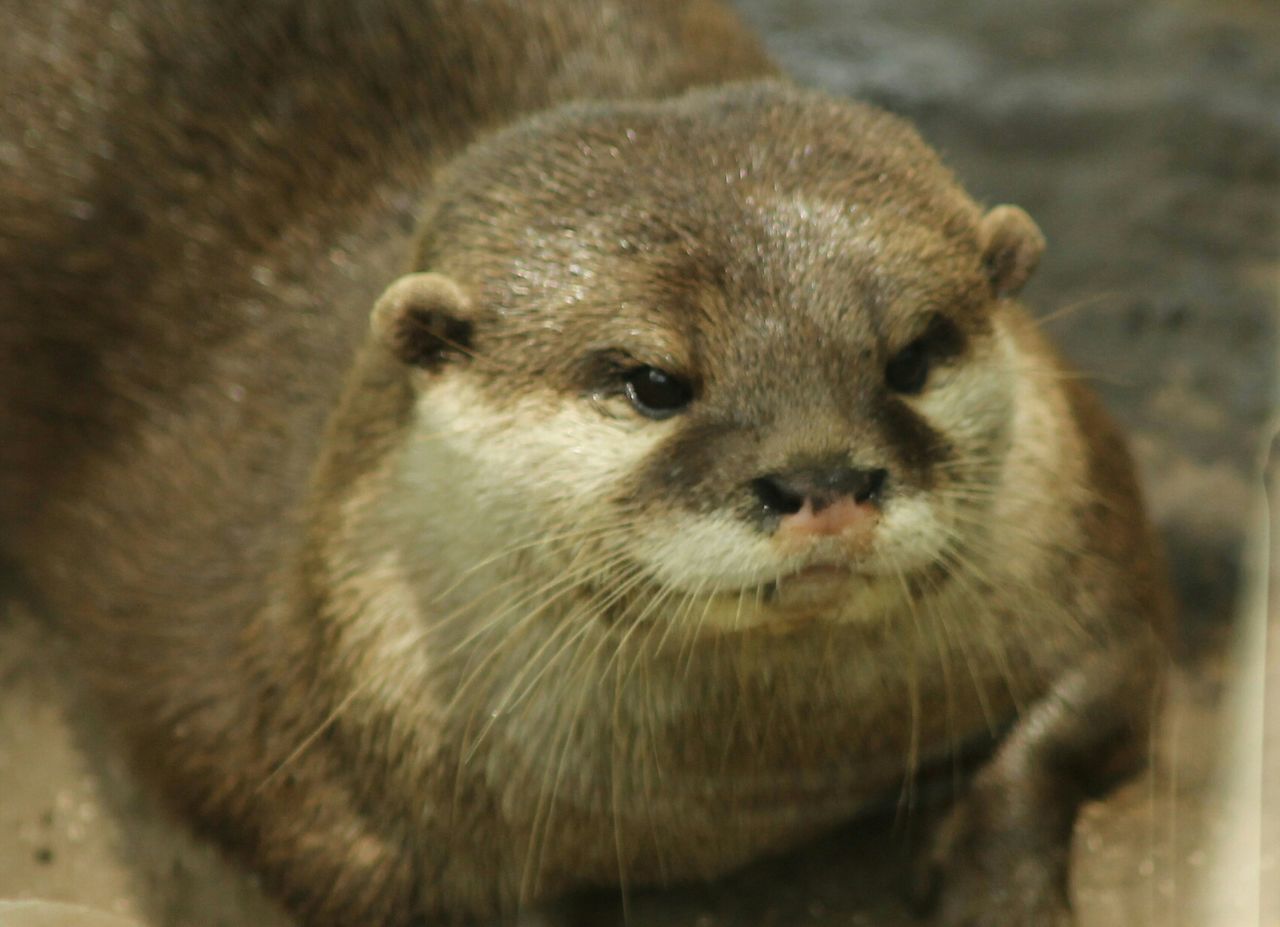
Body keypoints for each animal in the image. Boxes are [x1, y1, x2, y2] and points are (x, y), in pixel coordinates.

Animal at [0, 1, 1172, 926]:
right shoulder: (273, 756)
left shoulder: (1090, 525)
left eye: (913, 356)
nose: (821, 480)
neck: (753, 788)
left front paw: (998, 886)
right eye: (652, 381)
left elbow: (1088, 706)